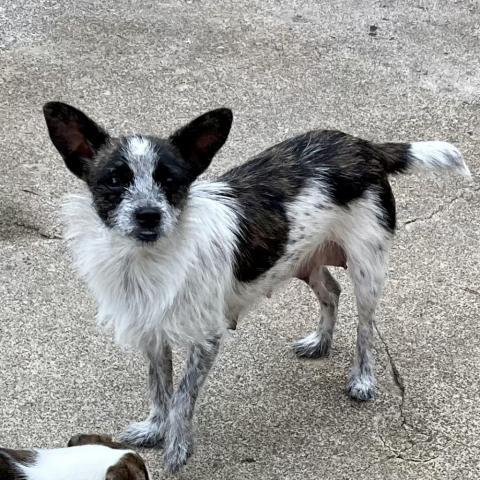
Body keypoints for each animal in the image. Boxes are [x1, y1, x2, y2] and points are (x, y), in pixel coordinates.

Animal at [43, 102, 470, 472]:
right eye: (115, 180)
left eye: (171, 181)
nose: (148, 215)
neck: (149, 258)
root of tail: (363, 146)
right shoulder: (152, 332)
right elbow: (159, 386)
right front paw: (155, 429)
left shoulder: (206, 338)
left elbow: (182, 395)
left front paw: (177, 448)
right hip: (301, 261)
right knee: (331, 291)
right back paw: (320, 341)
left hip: (367, 266)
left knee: (366, 326)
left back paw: (363, 378)